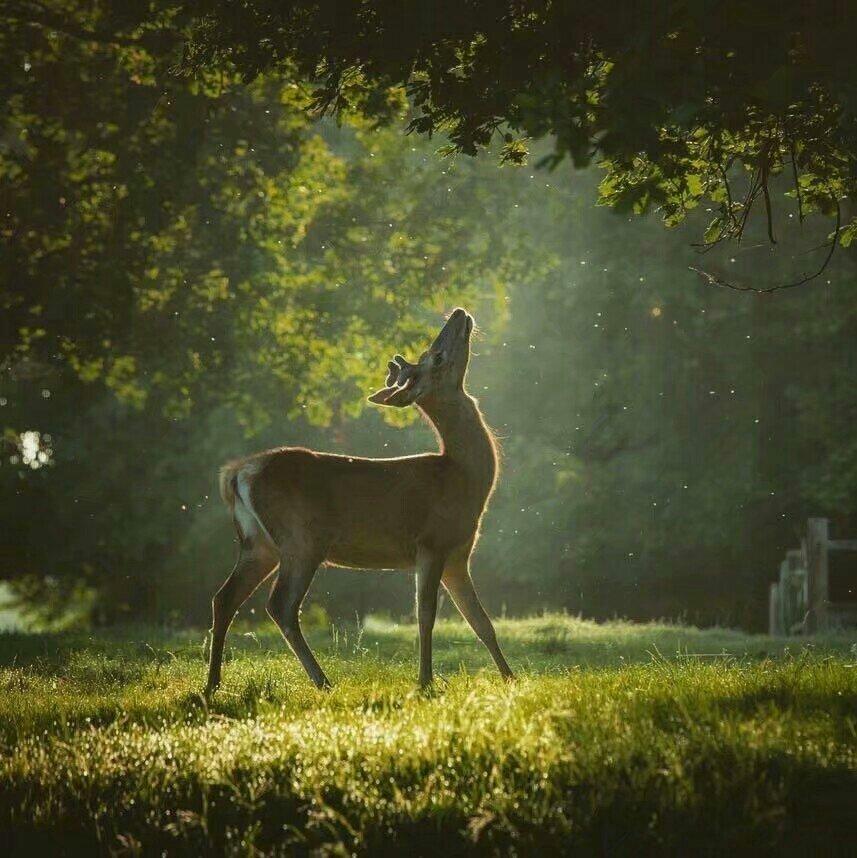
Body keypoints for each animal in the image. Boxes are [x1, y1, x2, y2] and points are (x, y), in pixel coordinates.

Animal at [205, 307, 513, 694]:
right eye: (437, 357)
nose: (458, 313)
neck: (463, 478)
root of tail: (236, 474)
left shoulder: (458, 555)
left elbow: (481, 621)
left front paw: (511, 678)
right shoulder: (430, 542)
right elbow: (426, 615)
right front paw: (426, 682)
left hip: (259, 544)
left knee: (224, 597)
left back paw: (212, 685)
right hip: (301, 538)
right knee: (280, 605)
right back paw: (323, 681)